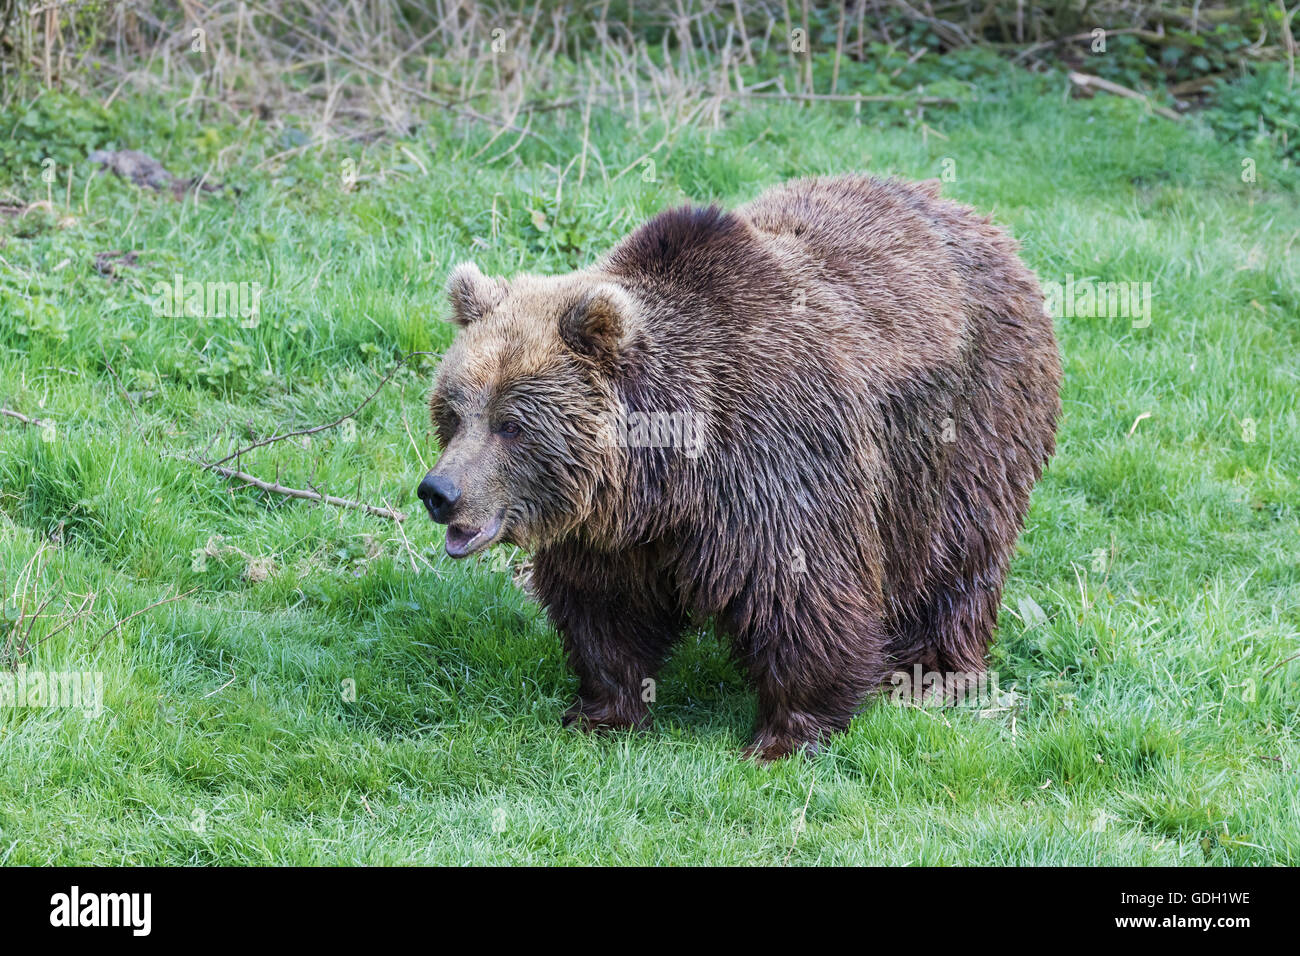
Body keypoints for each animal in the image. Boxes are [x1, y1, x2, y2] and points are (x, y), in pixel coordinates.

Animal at [421, 175, 1060, 764]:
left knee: (959, 544)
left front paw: (785, 737)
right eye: (453, 411)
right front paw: (601, 712)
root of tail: (979, 220)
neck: (669, 480)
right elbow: (603, 607)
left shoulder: (779, 460)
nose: (439, 491)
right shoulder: (608, 529)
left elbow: (802, 597)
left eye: (510, 423)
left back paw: (933, 670)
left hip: (971, 415)